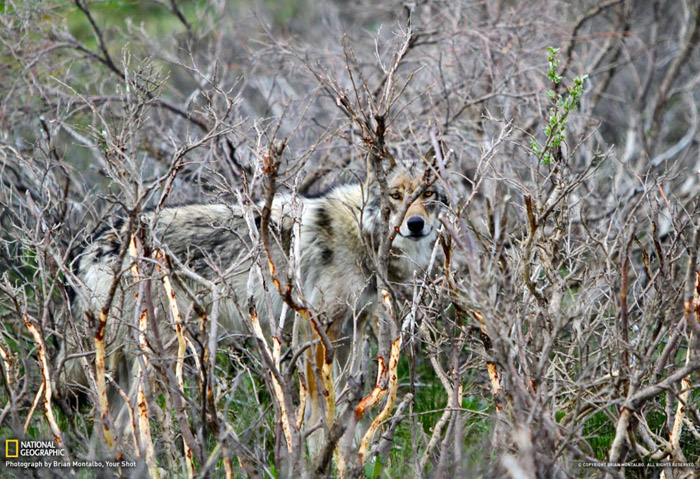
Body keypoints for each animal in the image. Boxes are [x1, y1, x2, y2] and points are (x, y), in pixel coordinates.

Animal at [64, 160, 442, 454]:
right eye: (396, 195)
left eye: (427, 195)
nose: (415, 225)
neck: (361, 233)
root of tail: (93, 244)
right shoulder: (315, 330)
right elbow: (320, 407)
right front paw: (319, 453)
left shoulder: (352, 330)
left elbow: (349, 403)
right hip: (157, 356)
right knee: (127, 427)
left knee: (104, 429)